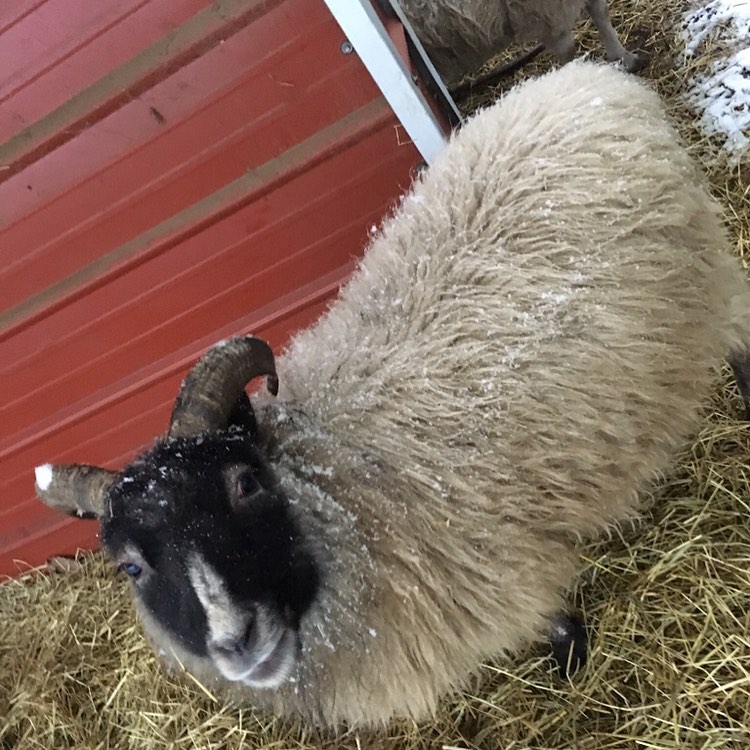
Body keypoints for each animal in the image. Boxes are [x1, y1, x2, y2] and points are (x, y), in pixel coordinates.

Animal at [34, 61, 750, 728]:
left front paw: (571, 656)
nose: (237, 643)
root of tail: (576, 78)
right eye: (131, 567)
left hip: (707, 268)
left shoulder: (494, 575)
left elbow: (547, 617)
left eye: (246, 483)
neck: (339, 472)